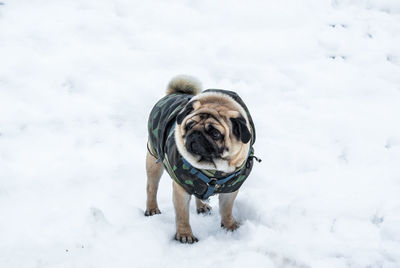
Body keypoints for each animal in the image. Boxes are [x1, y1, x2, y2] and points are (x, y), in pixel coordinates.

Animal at [145, 75, 258, 243]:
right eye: (189, 125)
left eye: (215, 133)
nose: (196, 133)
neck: (212, 168)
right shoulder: (181, 189)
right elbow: (182, 215)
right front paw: (185, 235)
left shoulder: (231, 190)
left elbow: (227, 209)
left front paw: (229, 226)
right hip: (153, 159)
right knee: (152, 188)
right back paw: (152, 209)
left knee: (199, 192)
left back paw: (202, 206)